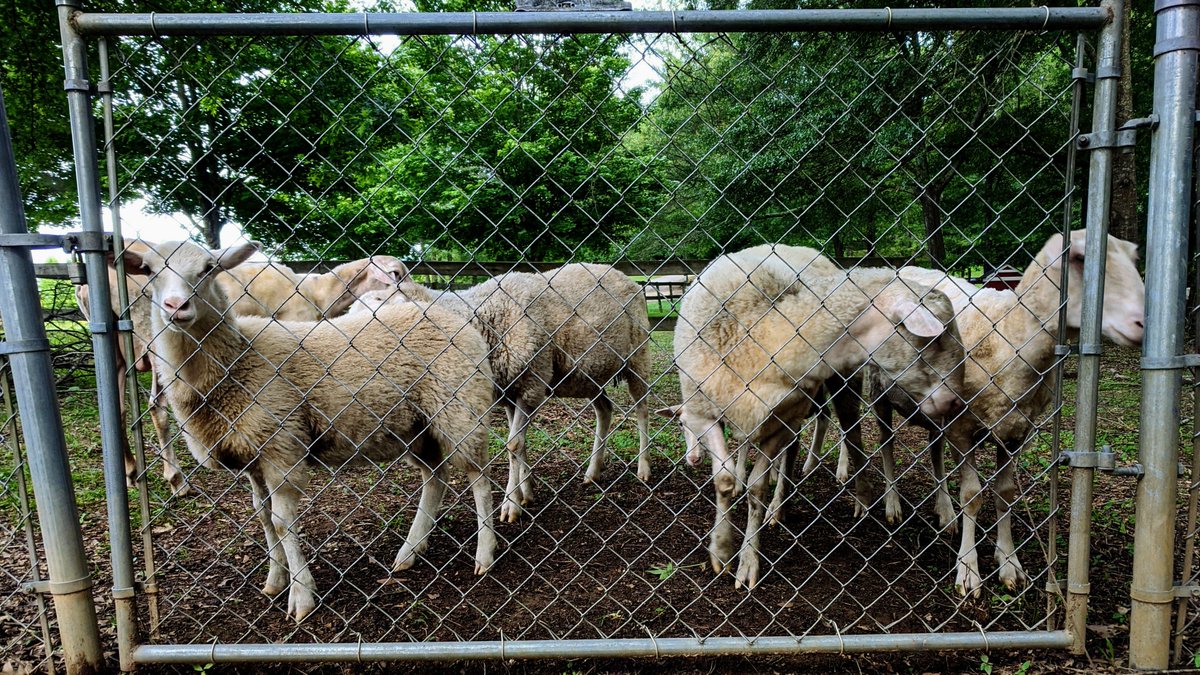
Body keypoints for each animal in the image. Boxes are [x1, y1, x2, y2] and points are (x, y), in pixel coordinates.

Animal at [119, 239, 498, 622]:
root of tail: (448, 315)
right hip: (415, 426)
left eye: (209, 268)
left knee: (479, 479)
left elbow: (281, 522)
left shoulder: (281, 446)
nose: (175, 307)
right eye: (149, 271)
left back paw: (485, 554)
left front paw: (301, 596)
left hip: (461, 407)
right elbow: (263, 517)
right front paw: (275, 579)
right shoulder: (253, 457)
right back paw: (410, 551)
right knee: (435, 477)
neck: (235, 361)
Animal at [665, 243, 963, 589]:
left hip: (839, 384)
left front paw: (748, 561)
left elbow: (757, 489)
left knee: (851, 434)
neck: (765, 333)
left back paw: (856, 496)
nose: (955, 402)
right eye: (937, 337)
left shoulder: (778, 421)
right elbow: (724, 480)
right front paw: (721, 548)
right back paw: (780, 506)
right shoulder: (705, 414)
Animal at [801, 230, 1145, 597]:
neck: (1010, 335)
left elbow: (1005, 495)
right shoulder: (963, 427)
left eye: (1135, 257)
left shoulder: (1014, 430)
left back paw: (945, 512)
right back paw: (893, 504)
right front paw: (968, 571)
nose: (1142, 323)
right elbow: (972, 495)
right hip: (880, 391)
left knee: (934, 450)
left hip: (938, 411)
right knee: (887, 442)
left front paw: (1009, 563)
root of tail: (898, 269)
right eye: (1080, 257)